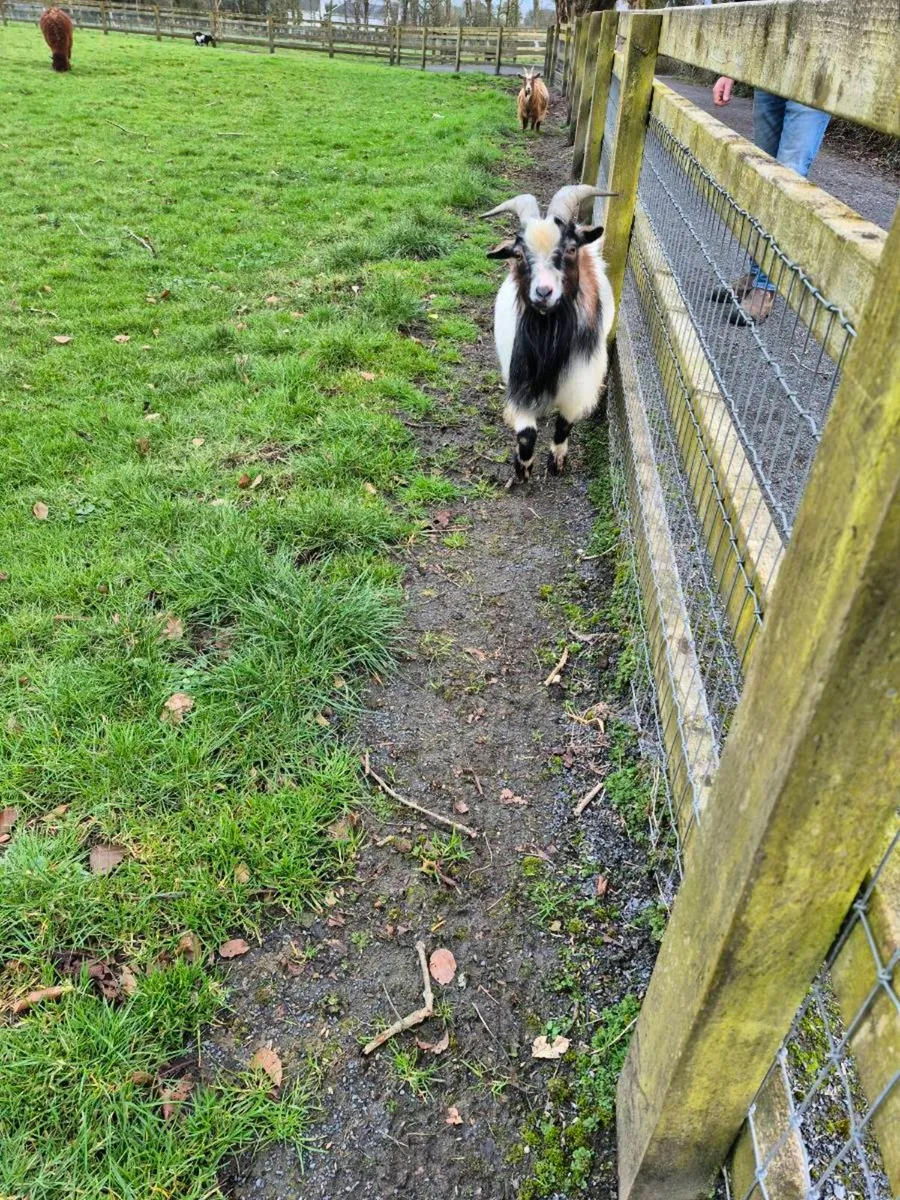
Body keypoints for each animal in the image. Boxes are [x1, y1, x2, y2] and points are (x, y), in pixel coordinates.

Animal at [483, 185, 616, 482]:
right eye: (518, 254)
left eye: (570, 248)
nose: (543, 292)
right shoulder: (520, 378)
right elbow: (526, 433)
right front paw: (522, 469)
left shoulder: (579, 381)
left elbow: (564, 424)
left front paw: (557, 462)